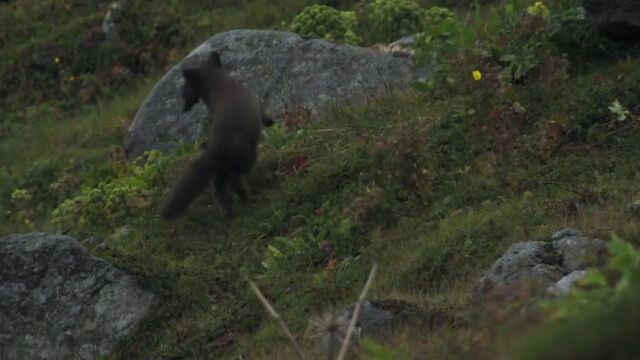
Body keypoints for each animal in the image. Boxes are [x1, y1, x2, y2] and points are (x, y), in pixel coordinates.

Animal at [161, 50, 274, 219]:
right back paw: (246, 198)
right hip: (245, 158)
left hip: (220, 172)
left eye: (184, 87)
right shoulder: (256, 103)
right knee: (234, 181)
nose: (182, 99)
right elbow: (264, 114)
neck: (221, 84)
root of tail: (214, 151)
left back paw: (229, 212)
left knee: (221, 191)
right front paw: (271, 121)